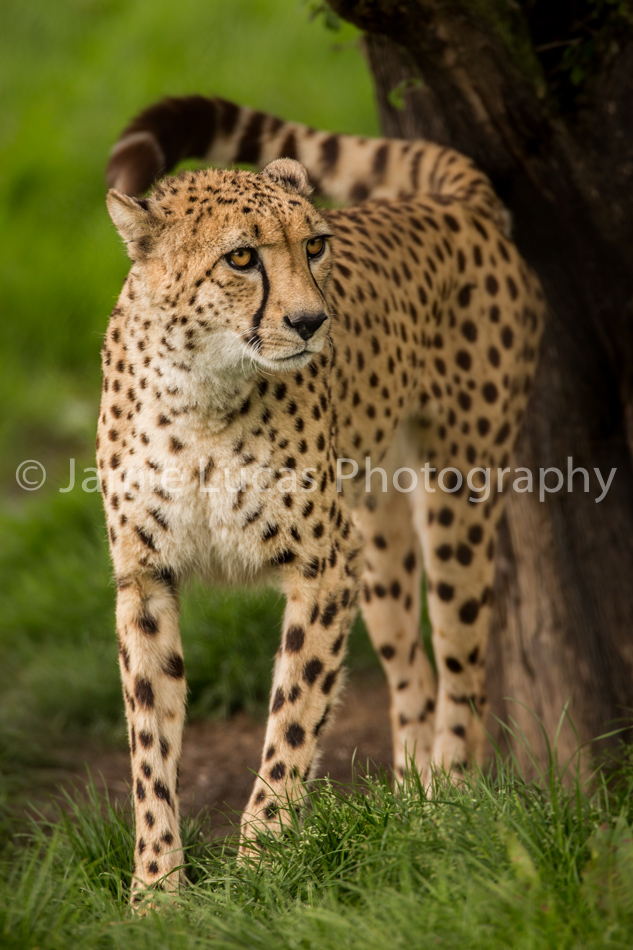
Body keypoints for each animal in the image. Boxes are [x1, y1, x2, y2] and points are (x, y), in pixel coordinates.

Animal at [99, 94, 544, 899]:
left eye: (314, 246)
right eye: (241, 257)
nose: (311, 322)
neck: (201, 390)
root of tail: (455, 198)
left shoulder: (321, 568)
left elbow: (293, 723)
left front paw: (258, 873)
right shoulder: (145, 579)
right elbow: (150, 742)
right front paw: (154, 891)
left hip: (458, 494)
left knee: (463, 673)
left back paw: (450, 812)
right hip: (376, 533)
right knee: (413, 675)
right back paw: (413, 810)